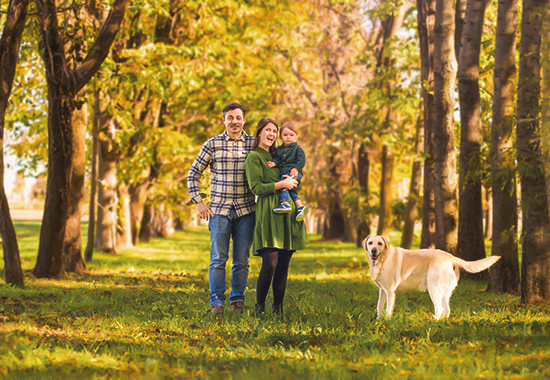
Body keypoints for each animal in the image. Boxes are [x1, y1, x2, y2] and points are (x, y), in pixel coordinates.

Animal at [364, 235, 502, 320]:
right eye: (370, 243)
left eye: (380, 243)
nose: (373, 250)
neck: (382, 260)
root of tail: (451, 257)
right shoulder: (382, 290)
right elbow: (379, 306)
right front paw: (378, 319)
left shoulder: (390, 291)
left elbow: (387, 309)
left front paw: (387, 320)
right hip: (445, 292)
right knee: (447, 309)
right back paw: (443, 321)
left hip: (433, 288)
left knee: (439, 308)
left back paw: (434, 321)